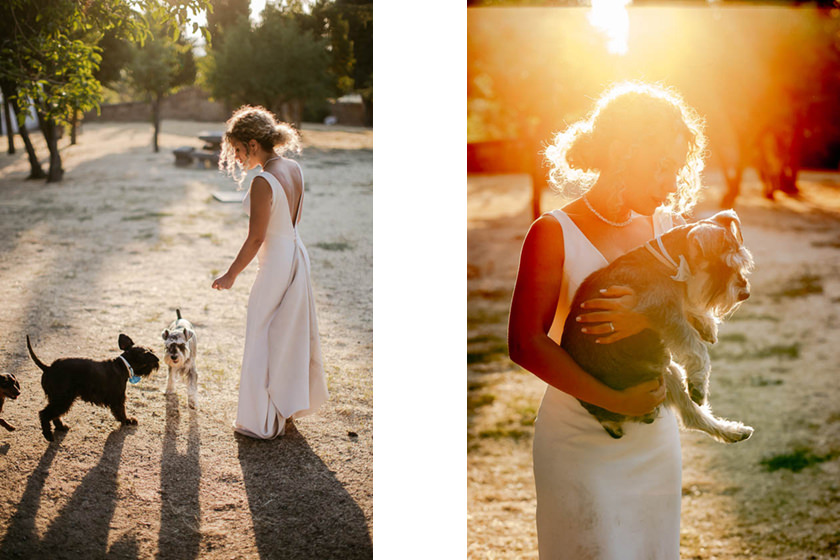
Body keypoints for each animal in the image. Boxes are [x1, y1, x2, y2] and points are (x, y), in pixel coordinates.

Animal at [27, 332, 160, 442]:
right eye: (148, 352)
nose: (157, 361)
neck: (123, 365)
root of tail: (48, 368)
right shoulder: (118, 398)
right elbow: (121, 412)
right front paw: (127, 421)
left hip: (57, 398)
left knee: (54, 415)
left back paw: (61, 427)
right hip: (63, 399)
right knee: (44, 414)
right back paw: (48, 435)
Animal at [564, 208, 756, 444]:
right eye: (723, 266)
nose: (745, 293)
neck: (669, 263)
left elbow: (690, 305)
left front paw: (706, 325)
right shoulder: (666, 315)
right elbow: (696, 348)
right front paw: (699, 381)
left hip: (665, 374)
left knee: (692, 417)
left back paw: (733, 431)